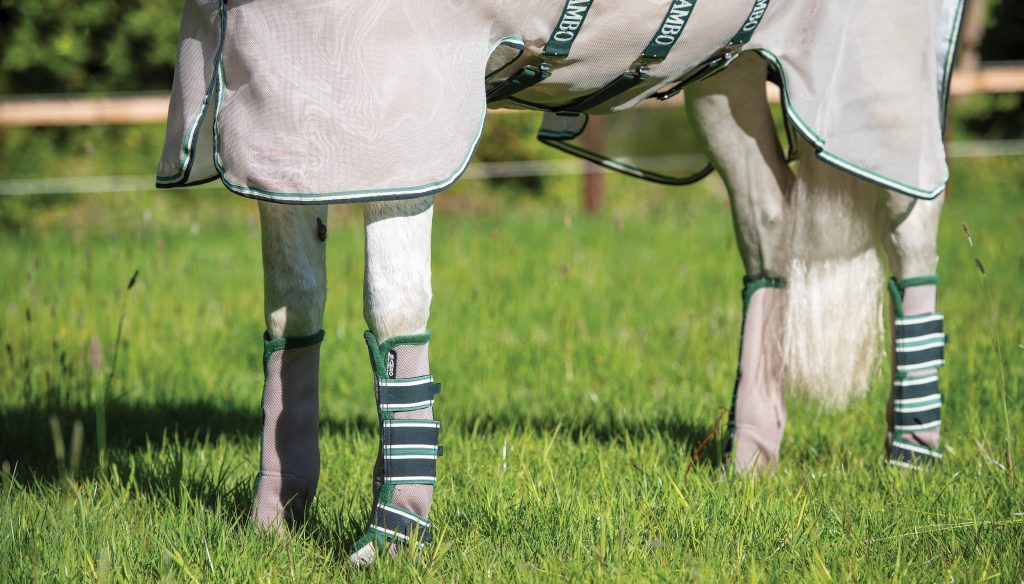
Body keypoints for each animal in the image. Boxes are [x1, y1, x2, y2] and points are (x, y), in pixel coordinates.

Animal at [153, 0, 958, 565]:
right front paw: (274, 525)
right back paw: (751, 461)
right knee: (769, 226)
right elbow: (292, 317)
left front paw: (394, 534)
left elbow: (393, 312)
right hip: (726, 78)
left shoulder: (400, 132)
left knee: (915, 233)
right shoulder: (286, 139)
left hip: (877, 89)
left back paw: (913, 457)